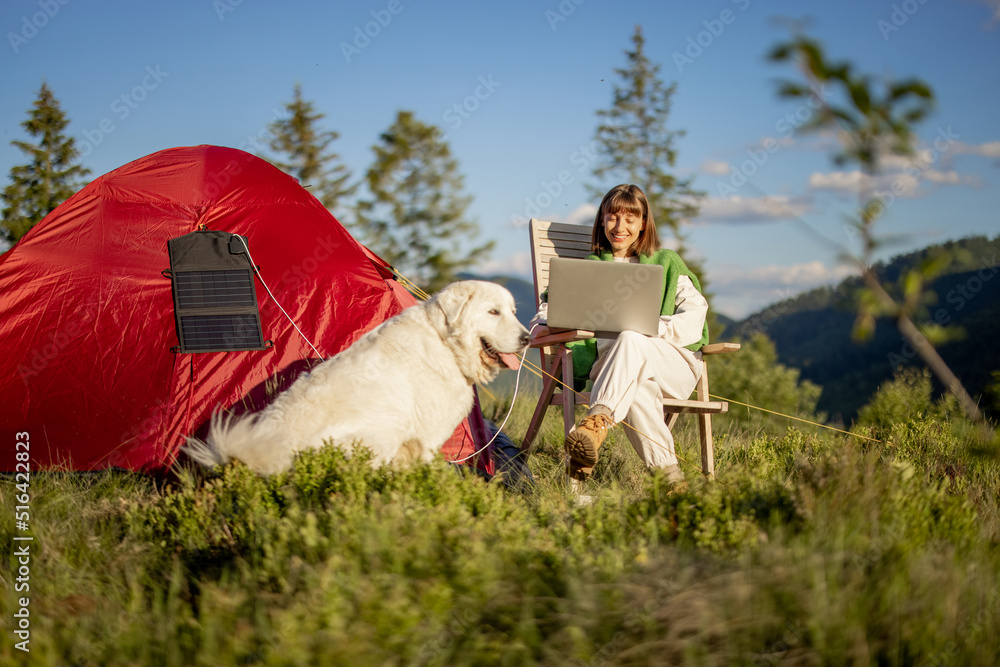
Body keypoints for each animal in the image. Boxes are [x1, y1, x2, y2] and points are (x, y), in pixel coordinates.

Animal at [186, 280, 532, 474]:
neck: (444, 342)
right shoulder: (426, 439)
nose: (527, 338)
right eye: (493, 312)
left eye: (513, 312)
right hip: (383, 428)